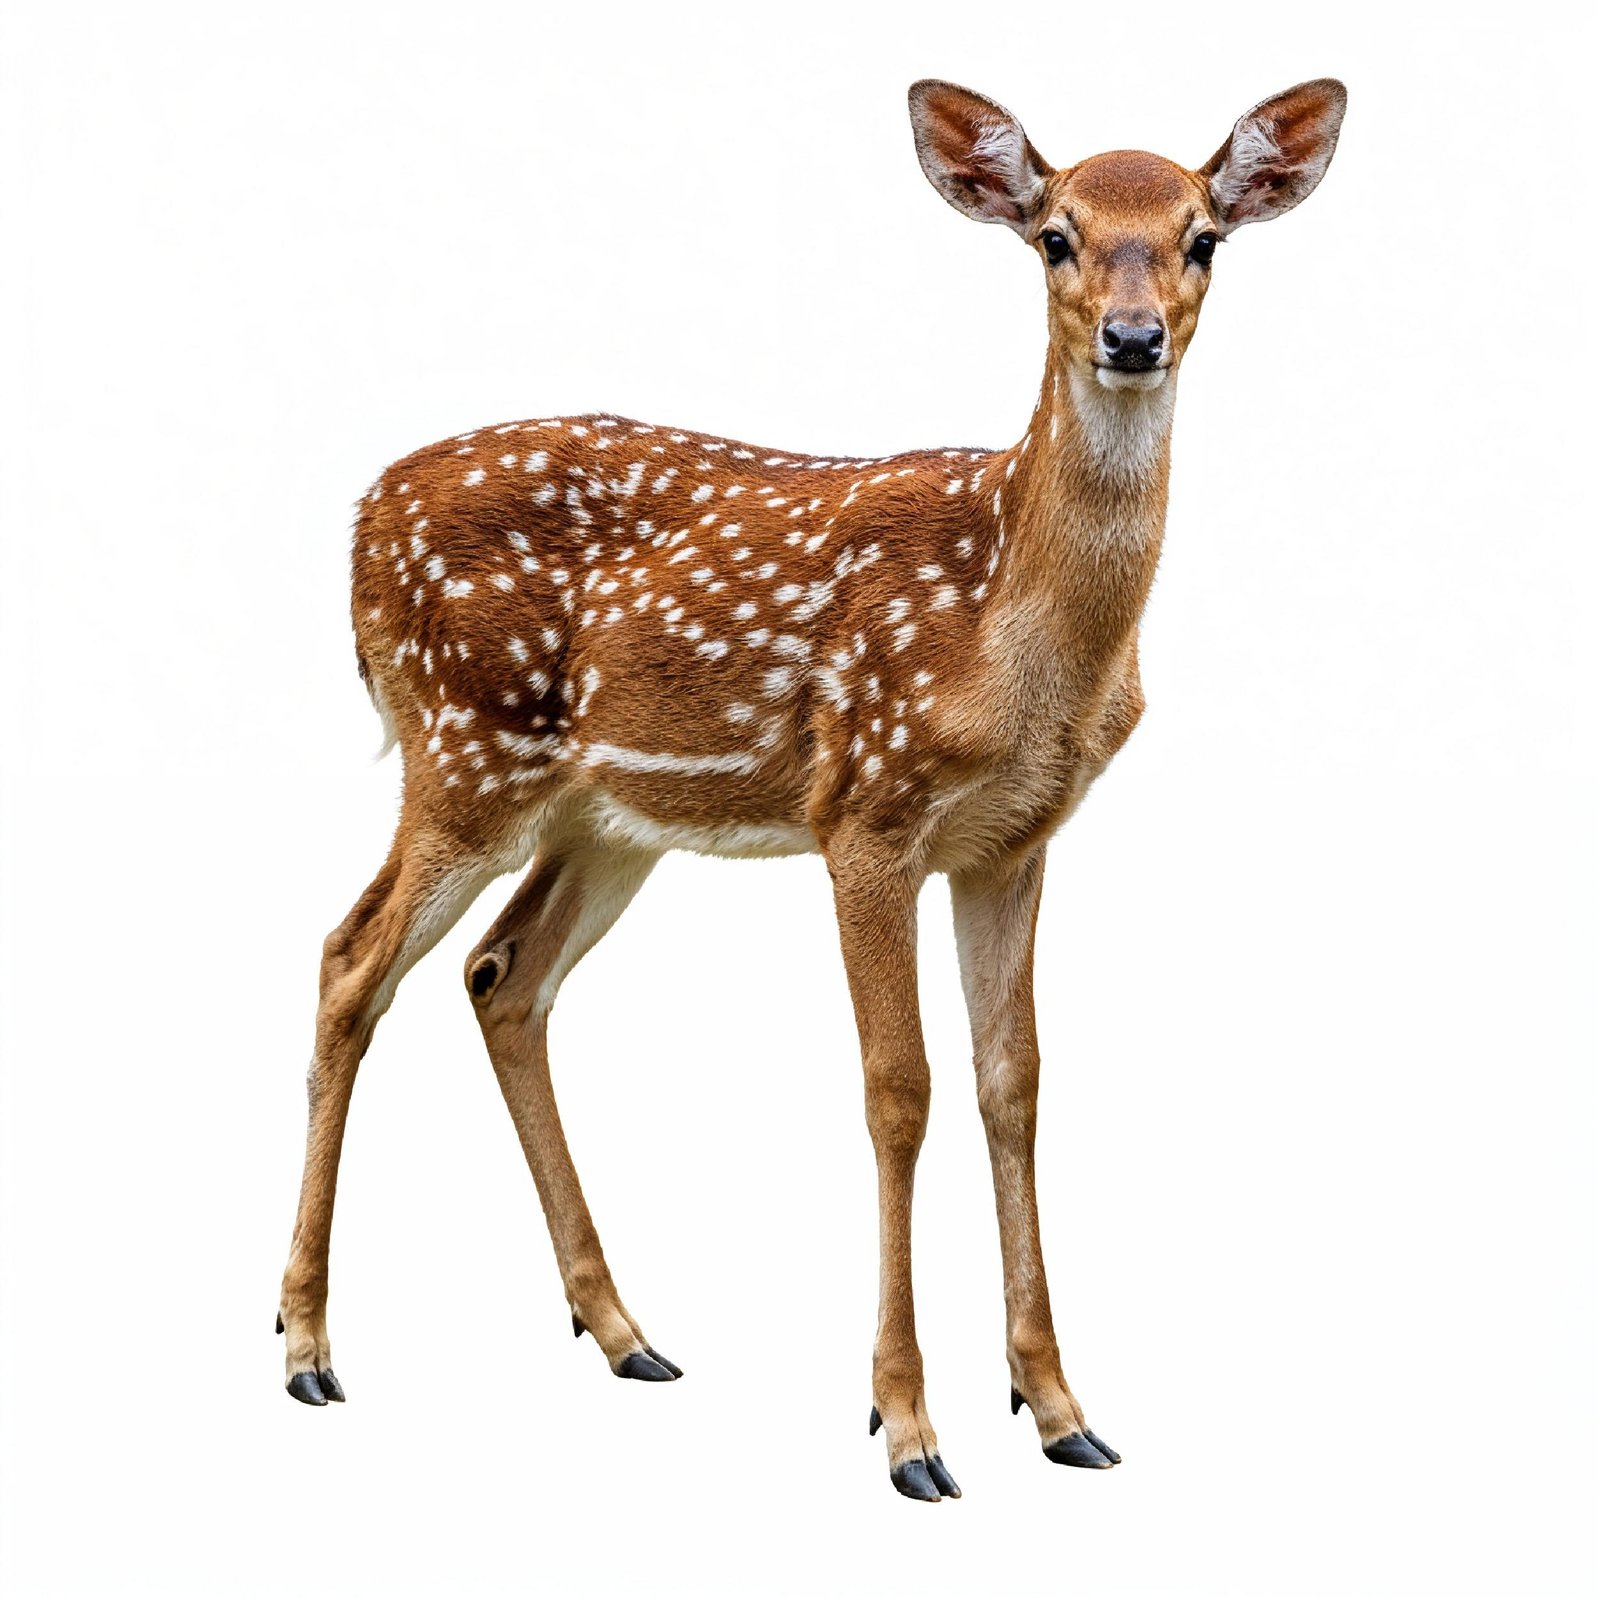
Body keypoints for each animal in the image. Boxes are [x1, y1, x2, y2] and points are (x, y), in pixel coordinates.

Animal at [277, 76, 1346, 1501]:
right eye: (1054, 237)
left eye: (1202, 239)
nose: (1132, 339)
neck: (1014, 630)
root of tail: (357, 519)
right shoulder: (868, 810)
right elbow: (899, 1088)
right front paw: (907, 1427)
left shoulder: (1012, 840)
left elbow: (1014, 1081)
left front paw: (1060, 1406)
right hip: (465, 751)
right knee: (350, 958)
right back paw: (305, 1343)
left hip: (604, 817)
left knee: (502, 976)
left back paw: (624, 1329)